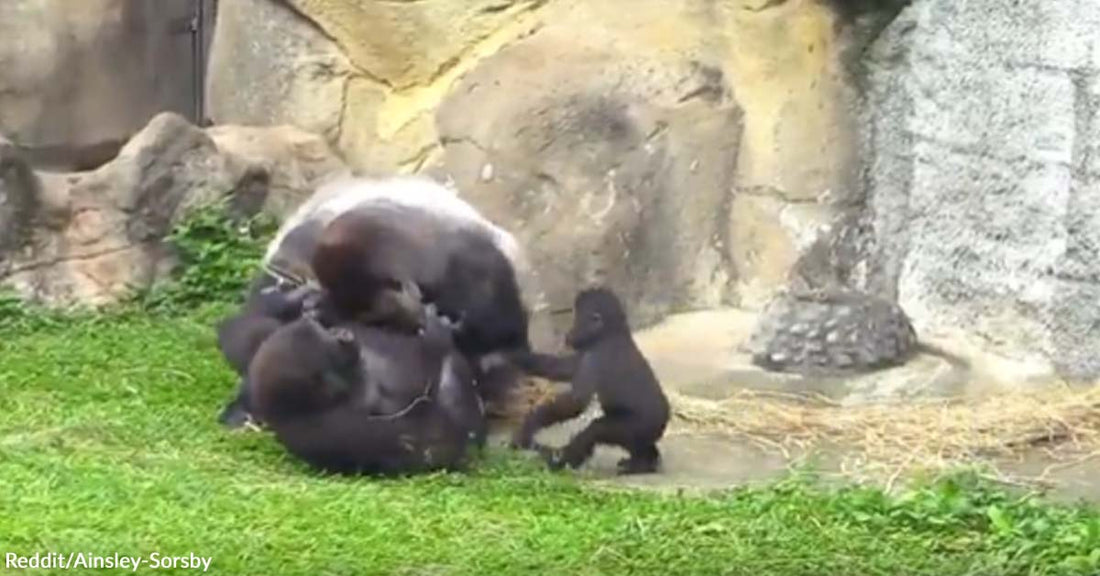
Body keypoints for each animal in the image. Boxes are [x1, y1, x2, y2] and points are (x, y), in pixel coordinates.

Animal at [509, 287, 670, 475]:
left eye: (576, 319)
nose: (569, 335)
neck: (611, 332)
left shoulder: (596, 357)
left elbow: (576, 402)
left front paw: (532, 422)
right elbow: (561, 368)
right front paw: (515, 356)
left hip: (640, 427)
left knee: (597, 429)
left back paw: (563, 463)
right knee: (638, 444)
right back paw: (645, 461)